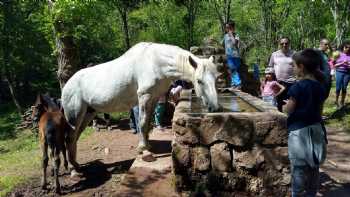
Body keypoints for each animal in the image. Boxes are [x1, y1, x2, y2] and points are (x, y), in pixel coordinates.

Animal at [60, 41, 219, 171]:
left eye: (216, 79)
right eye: (199, 81)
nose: (215, 108)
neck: (155, 62)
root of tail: (67, 85)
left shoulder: (153, 98)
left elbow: (148, 122)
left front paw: (147, 145)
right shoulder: (144, 97)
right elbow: (142, 122)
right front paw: (144, 151)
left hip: (88, 113)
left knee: (74, 138)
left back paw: (75, 165)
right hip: (75, 116)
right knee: (70, 138)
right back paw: (74, 169)